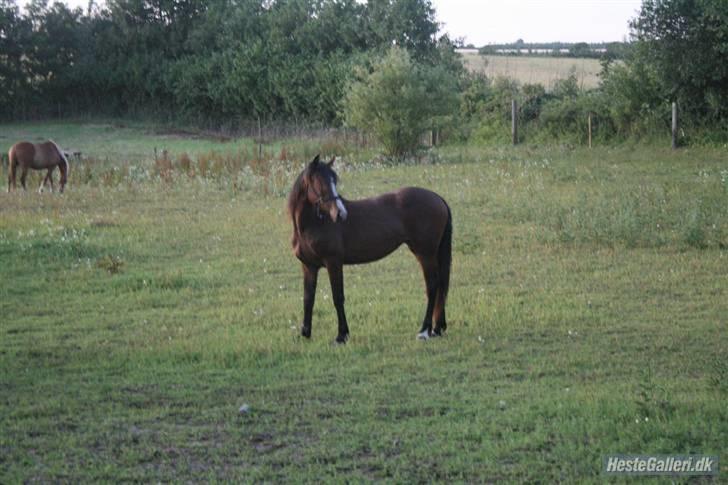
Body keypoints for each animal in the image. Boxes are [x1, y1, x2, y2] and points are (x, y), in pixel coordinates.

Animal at [288, 157, 452, 342]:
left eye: (334, 181)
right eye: (319, 182)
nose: (340, 214)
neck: (312, 225)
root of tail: (437, 198)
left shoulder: (333, 263)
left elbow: (338, 297)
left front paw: (342, 335)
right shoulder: (309, 266)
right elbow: (308, 299)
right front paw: (305, 333)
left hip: (425, 254)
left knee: (432, 286)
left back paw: (424, 330)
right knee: (440, 286)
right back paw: (437, 328)